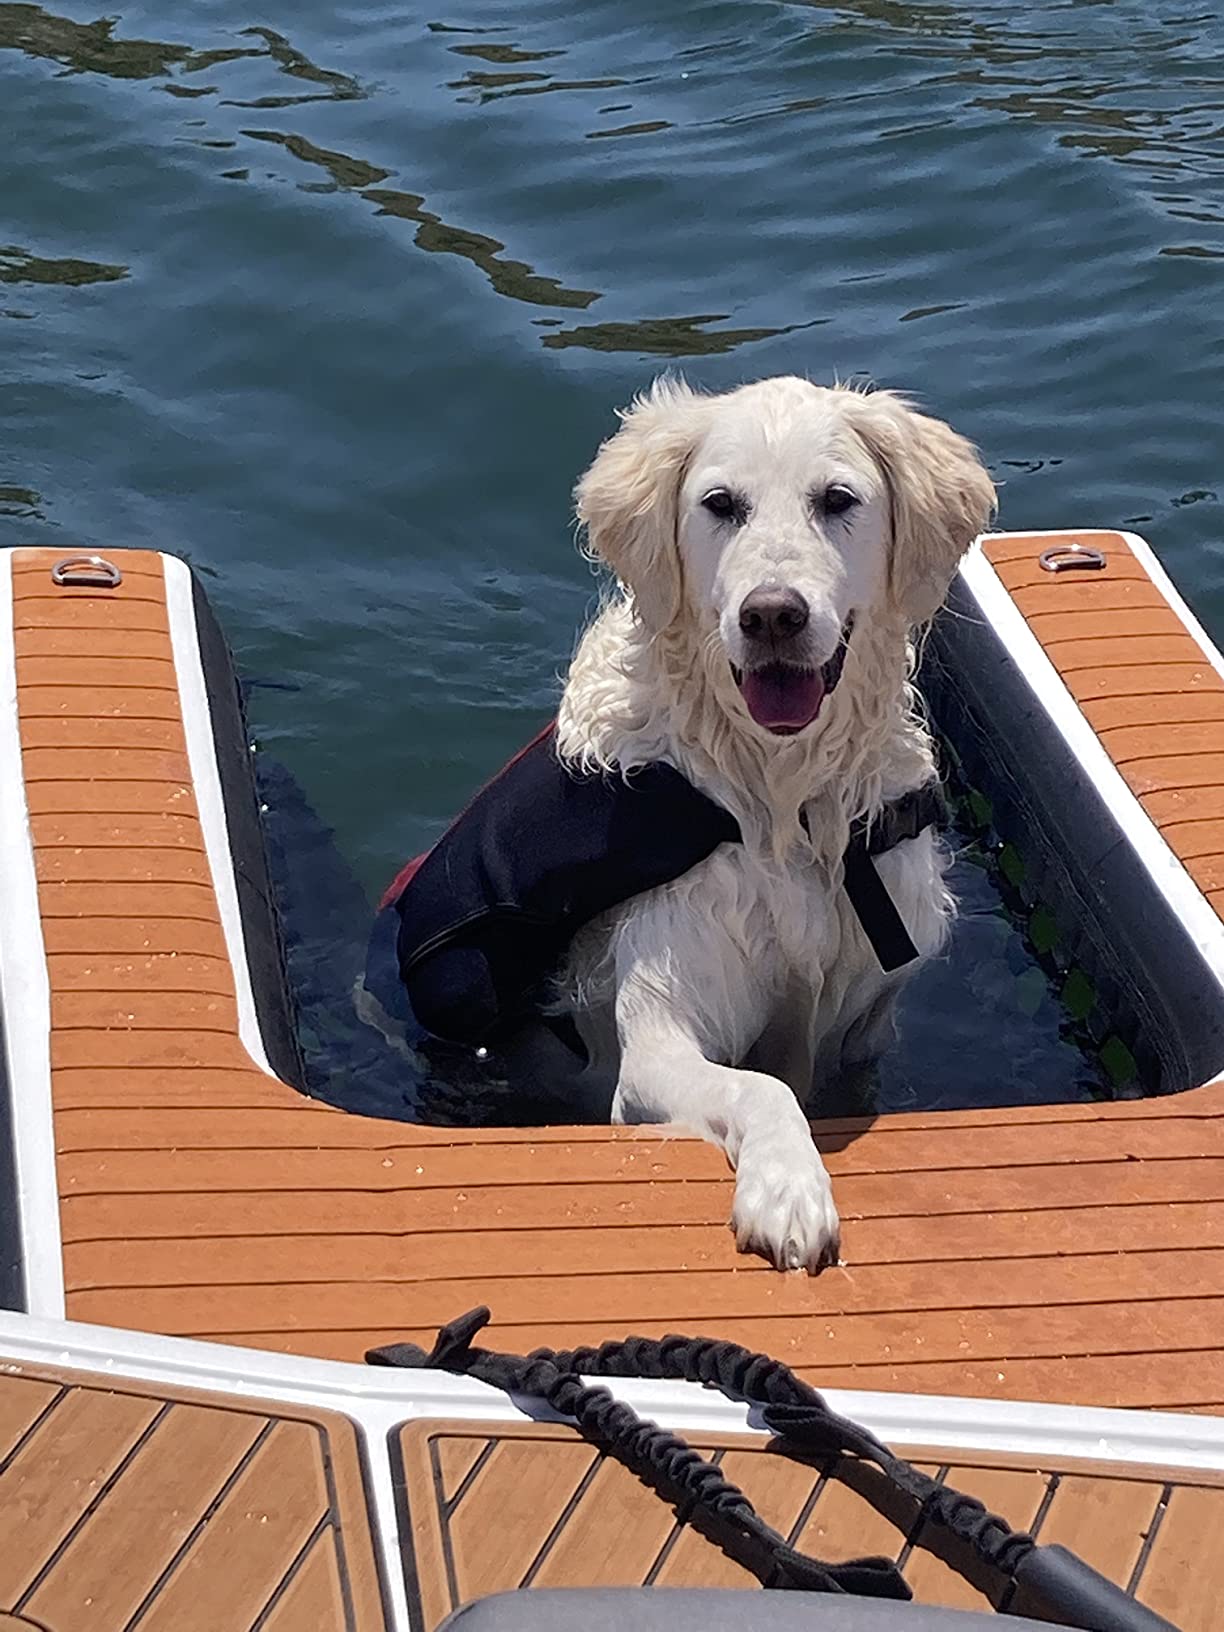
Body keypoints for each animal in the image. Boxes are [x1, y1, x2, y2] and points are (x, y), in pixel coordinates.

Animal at [554, 373, 998, 1272]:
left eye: (837, 500)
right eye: (721, 504)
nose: (772, 616)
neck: (783, 799)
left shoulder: (869, 1018)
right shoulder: (657, 1034)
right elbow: (759, 1085)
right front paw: (789, 1188)